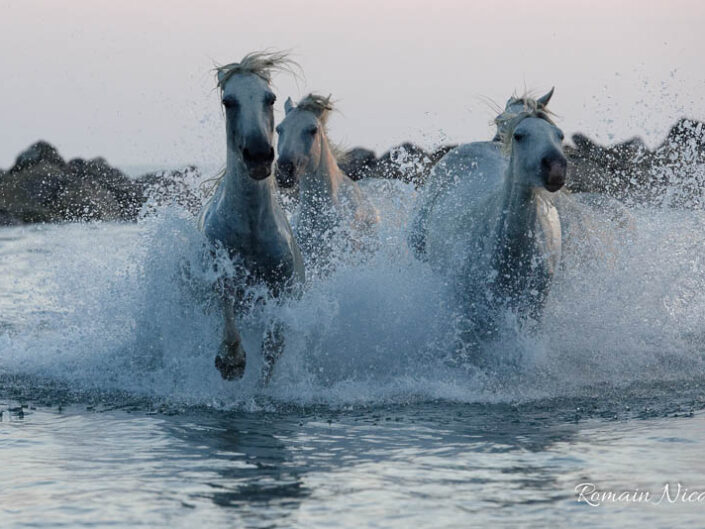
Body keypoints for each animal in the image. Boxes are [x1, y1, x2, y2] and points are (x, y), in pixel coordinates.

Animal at [197, 51, 304, 382]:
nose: (258, 156)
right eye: (228, 101)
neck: (251, 229)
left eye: (270, 98)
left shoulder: (282, 291)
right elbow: (228, 315)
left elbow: (273, 346)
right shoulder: (220, 275)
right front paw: (231, 362)